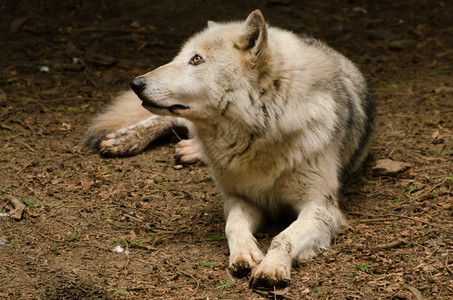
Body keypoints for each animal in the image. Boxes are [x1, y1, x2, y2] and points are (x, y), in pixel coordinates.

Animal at [82, 10, 374, 290]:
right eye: (181, 57)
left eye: (196, 59)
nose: (136, 83)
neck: (260, 132)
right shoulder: (242, 198)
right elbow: (233, 225)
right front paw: (244, 254)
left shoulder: (321, 207)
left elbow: (283, 237)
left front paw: (271, 268)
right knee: (169, 121)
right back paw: (123, 140)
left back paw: (191, 150)